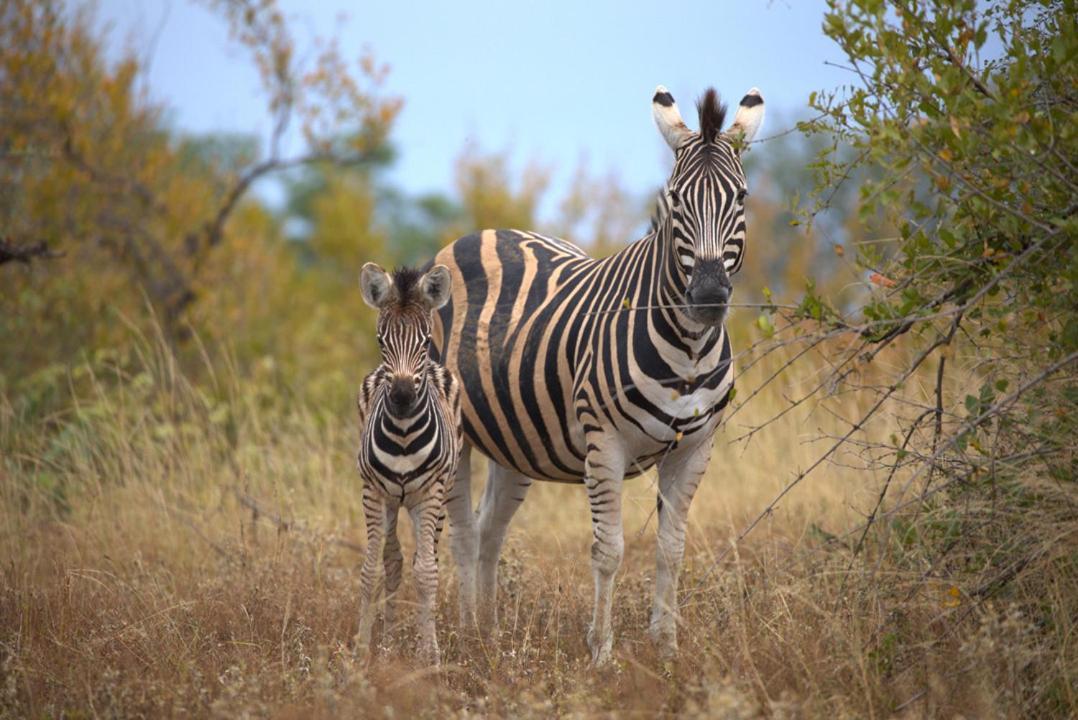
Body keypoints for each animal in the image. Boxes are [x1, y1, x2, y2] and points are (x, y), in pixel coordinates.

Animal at [355, 261, 461, 668]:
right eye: (381, 341)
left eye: (424, 341)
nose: (401, 397)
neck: (401, 435)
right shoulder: (372, 492)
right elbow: (372, 569)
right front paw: (361, 650)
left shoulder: (429, 495)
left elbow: (427, 573)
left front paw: (428, 655)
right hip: (389, 502)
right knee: (394, 562)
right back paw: (386, 643)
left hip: (441, 496)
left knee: (425, 559)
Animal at [426, 85, 758, 663]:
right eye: (674, 201)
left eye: (739, 198)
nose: (708, 296)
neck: (690, 350)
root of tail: (481, 233)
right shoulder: (605, 443)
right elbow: (609, 551)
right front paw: (601, 652)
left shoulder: (697, 447)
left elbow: (672, 549)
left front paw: (667, 649)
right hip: (457, 433)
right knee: (464, 534)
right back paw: (468, 636)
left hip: (518, 440)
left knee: (490, 530)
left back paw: (491, 634)